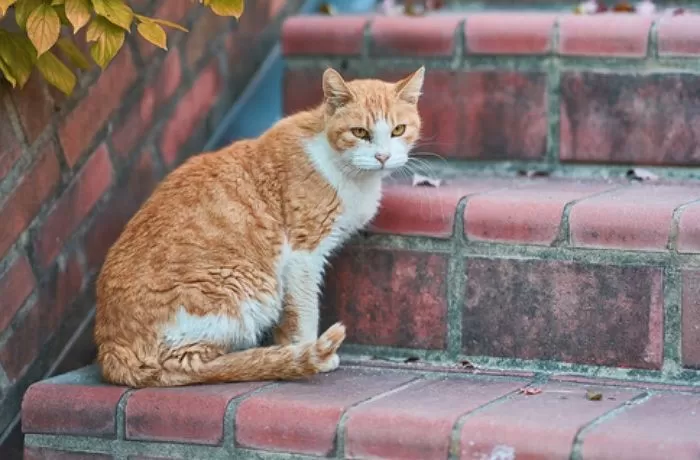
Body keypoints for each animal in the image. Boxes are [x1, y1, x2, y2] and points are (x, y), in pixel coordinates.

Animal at [93, 65, 424, 388]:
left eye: (398, 130)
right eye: (360, 132)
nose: (383, 156)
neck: (340, 166)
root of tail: (110, 349)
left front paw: (290, 349)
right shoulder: (303, 255)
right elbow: (305, 312)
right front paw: (308, 354)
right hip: (248, 287)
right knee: (184, 366)